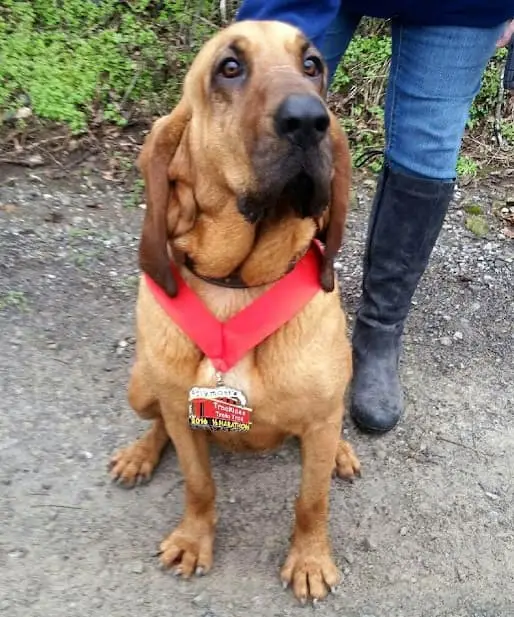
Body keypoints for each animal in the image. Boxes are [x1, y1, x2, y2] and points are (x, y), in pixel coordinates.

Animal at [110, 18, 358, 600]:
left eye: (312, 65)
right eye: (229, 67)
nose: (309, 121)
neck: (238, 283)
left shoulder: (319, 419)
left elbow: (311, 501)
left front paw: (310, 560)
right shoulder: (180, 408)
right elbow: (198, 484)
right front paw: (193, 540)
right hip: (141, 386)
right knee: (158, 424)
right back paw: (139, 454)